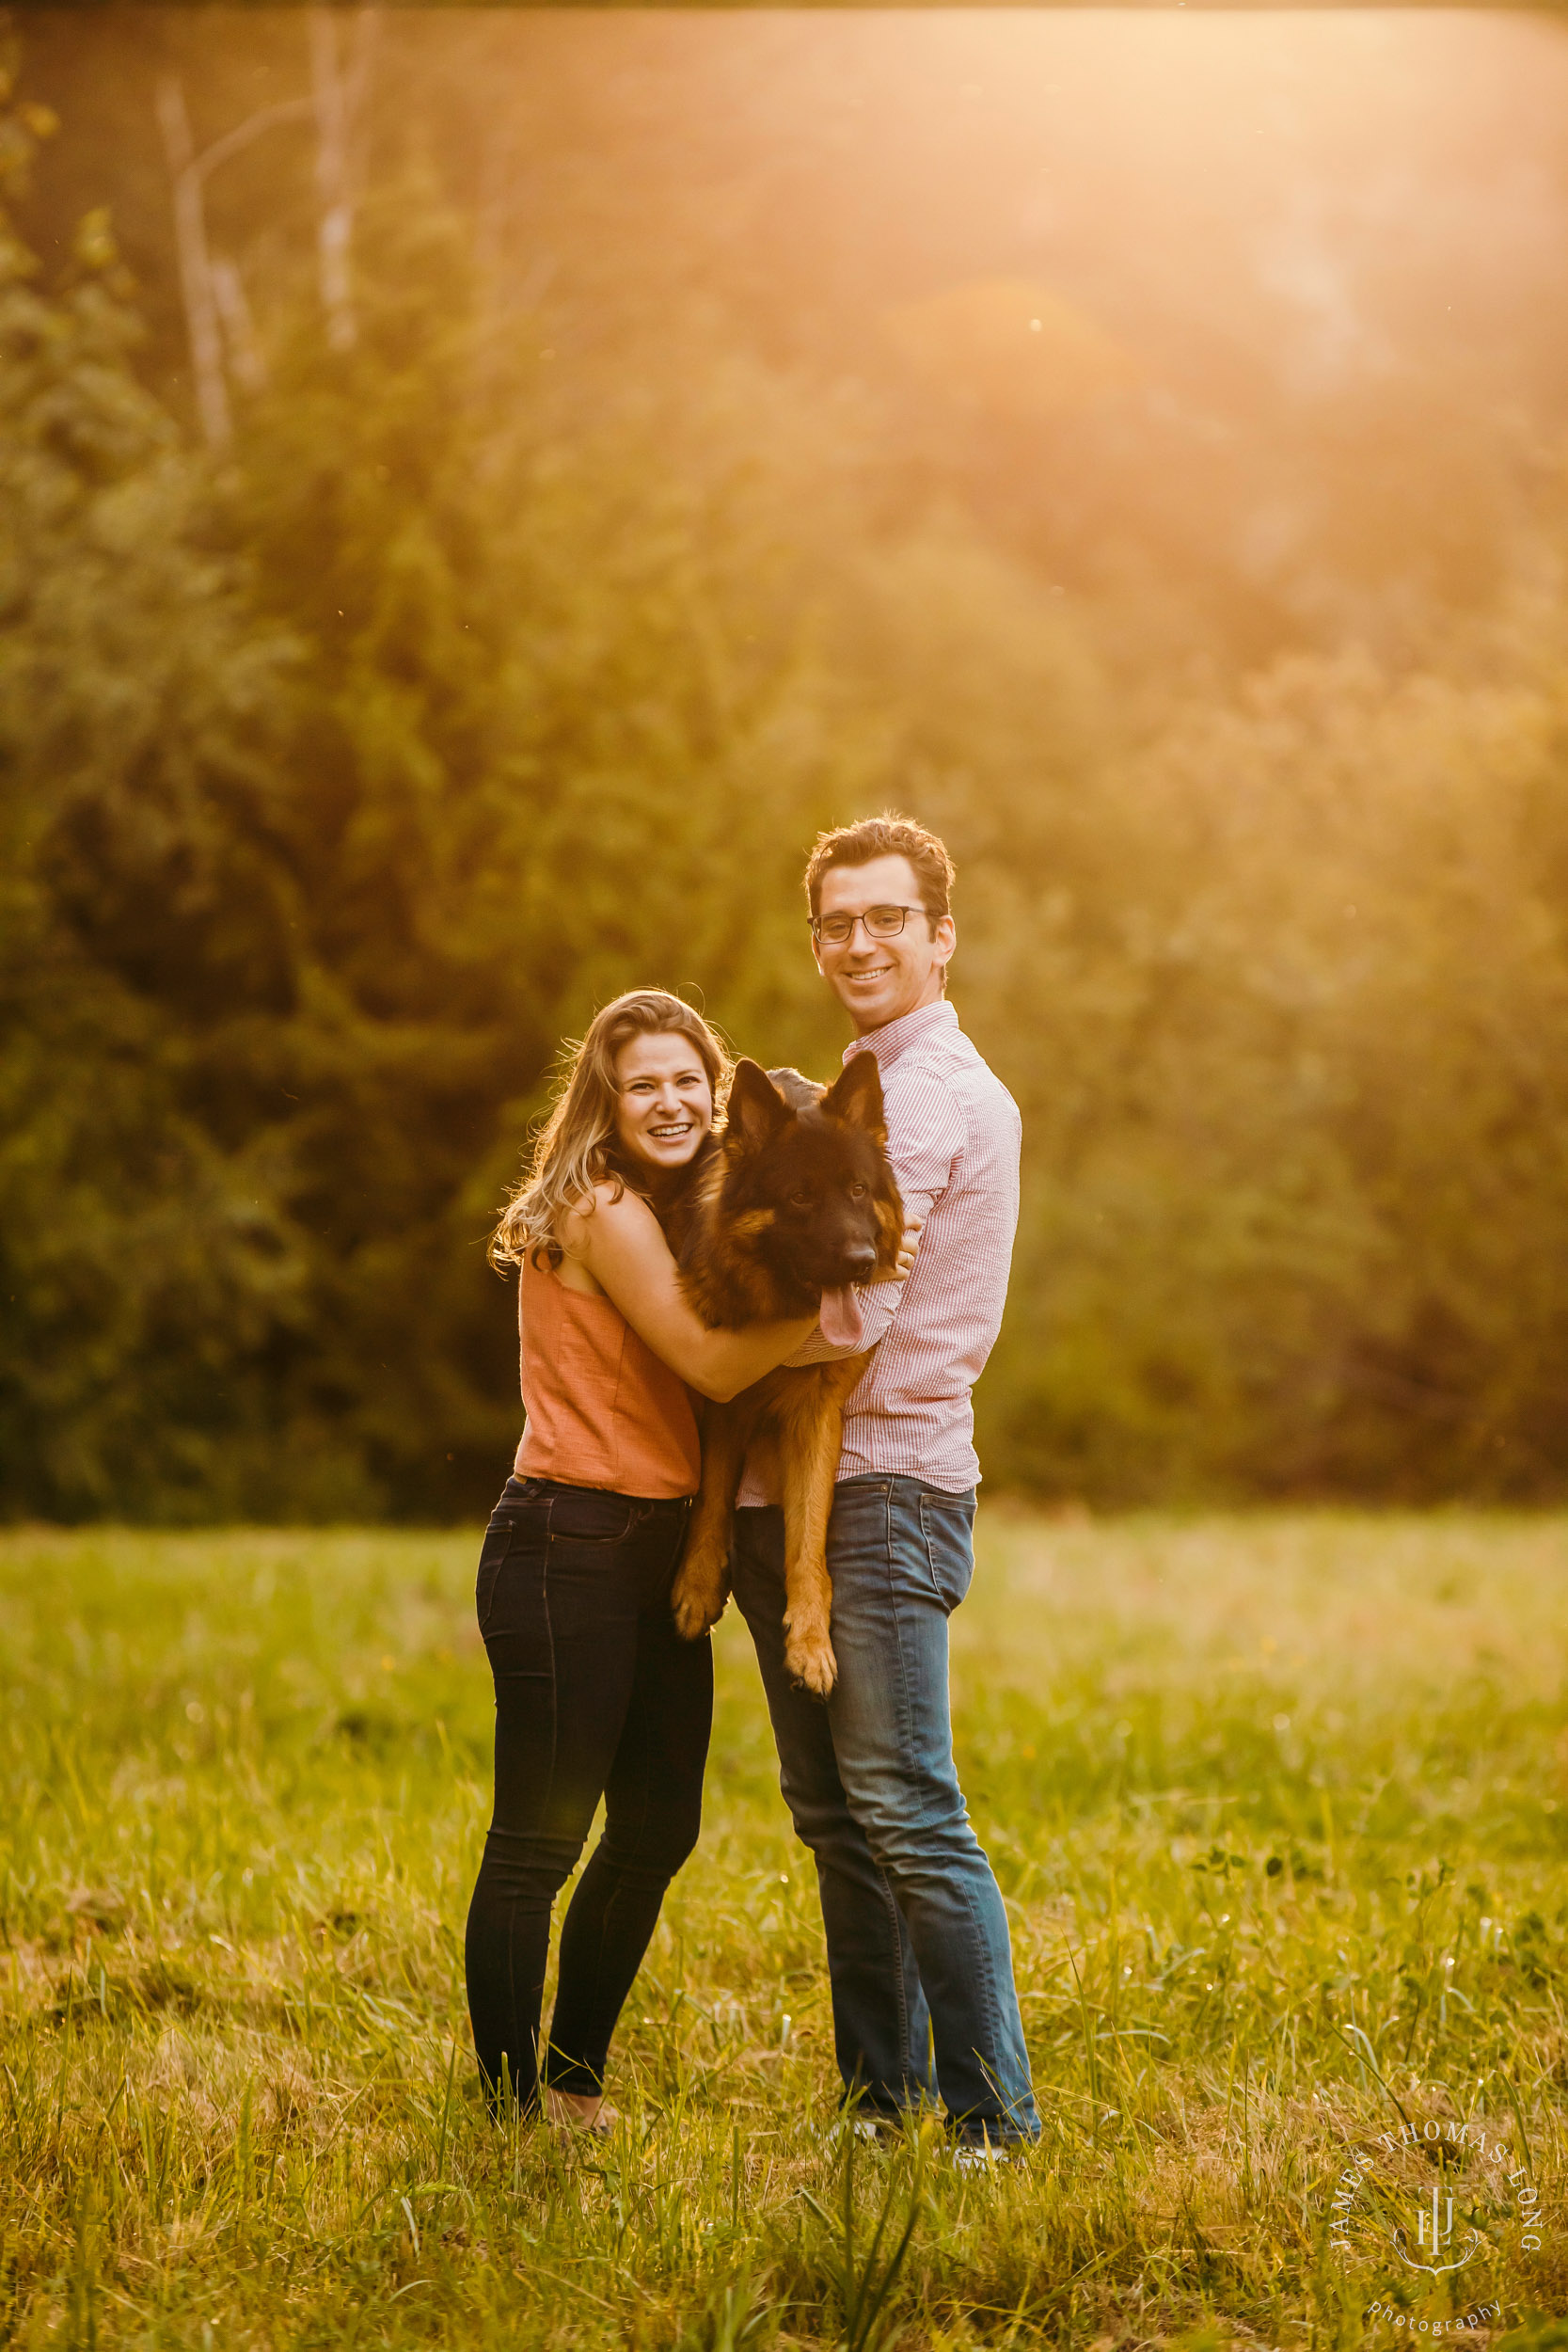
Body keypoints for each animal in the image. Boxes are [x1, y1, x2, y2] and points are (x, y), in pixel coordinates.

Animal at [667, 1058, 907, 1703]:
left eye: (857, 1190)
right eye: (800, 1197)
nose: (860, 1263)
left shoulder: (815, 1418)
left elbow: (808, 1539)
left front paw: (810, 1643)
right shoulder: (724, 1406)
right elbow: (713, 1496)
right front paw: (698, 1584)